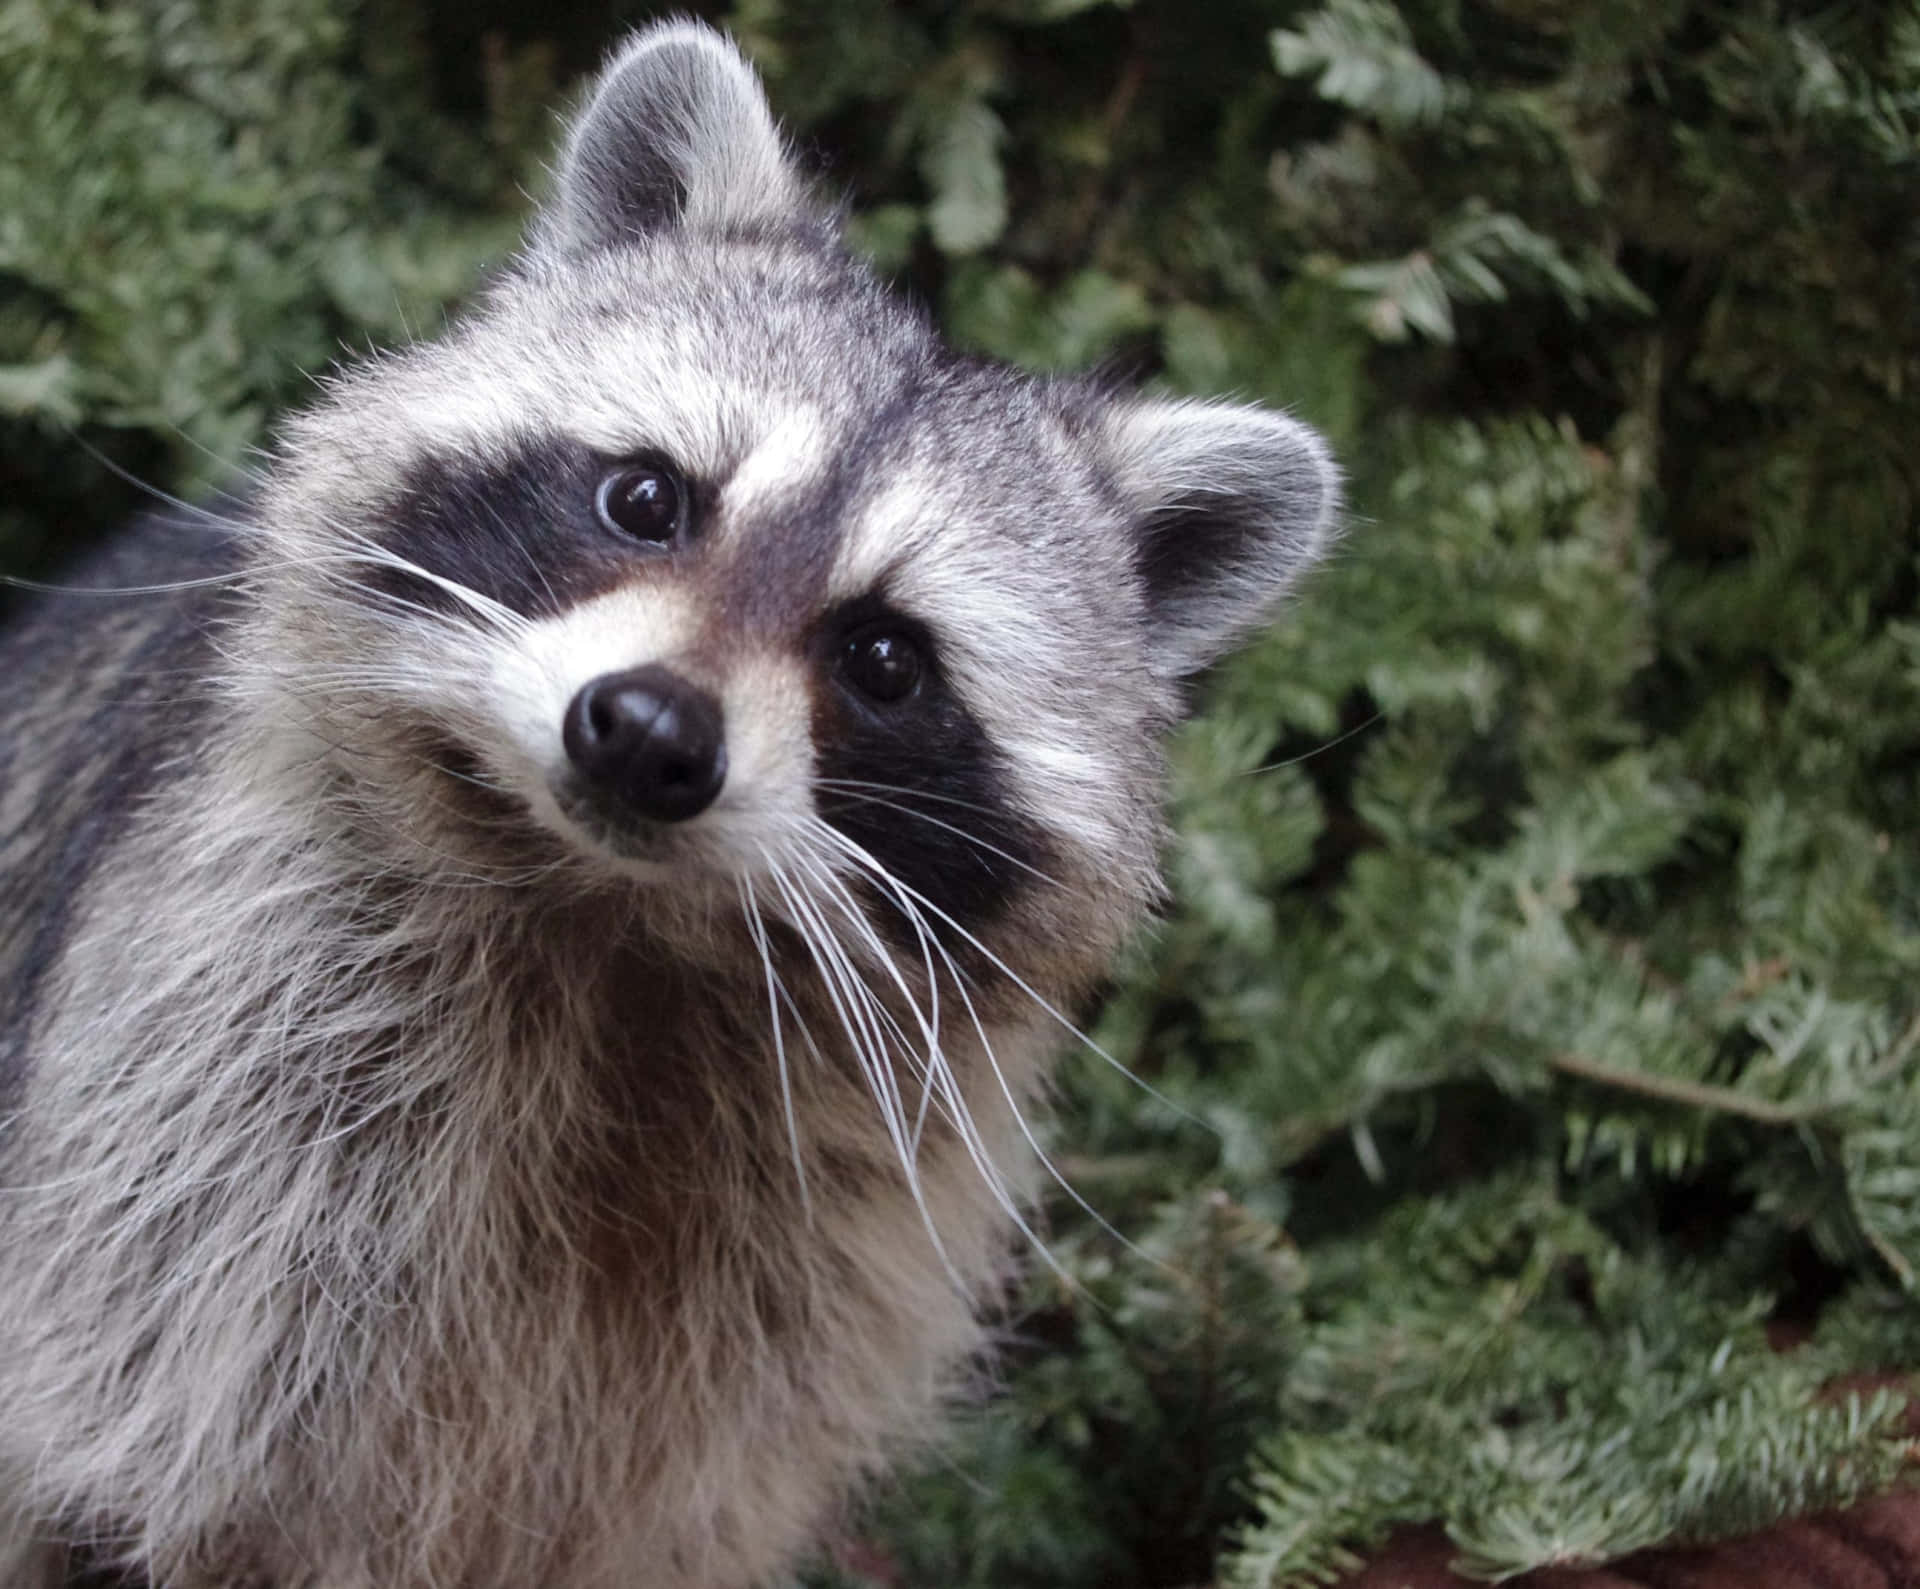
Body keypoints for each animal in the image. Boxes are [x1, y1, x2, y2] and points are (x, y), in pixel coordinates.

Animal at [0, 23, 1335, 1589]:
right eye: (647, 496)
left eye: (886, 658)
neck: (620, 923)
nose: (646, 735)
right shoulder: (198, 1134)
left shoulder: (799, 1290)